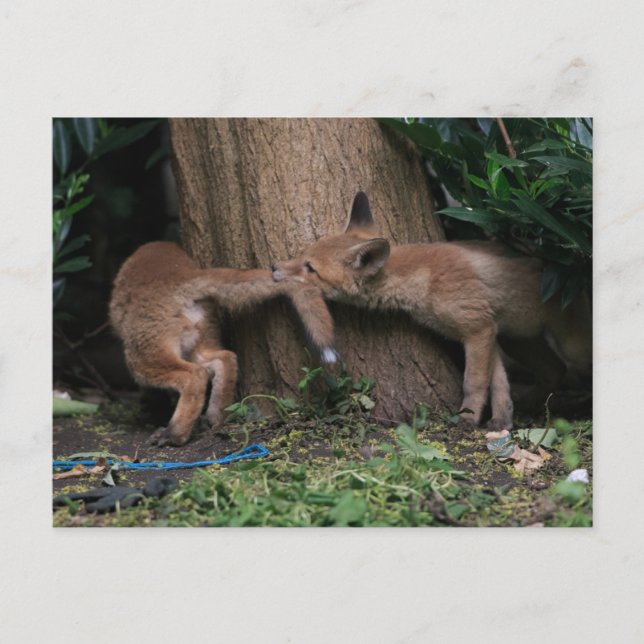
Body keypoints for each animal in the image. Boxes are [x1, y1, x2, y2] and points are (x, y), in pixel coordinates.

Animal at [109, 241, 336, 447]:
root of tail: (184, 276)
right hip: (198, 346)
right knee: (226, 359)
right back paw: (217, 416)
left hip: (141, 359)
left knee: (195, 376)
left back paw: (175, 435)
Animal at [272, 191, 591, 430]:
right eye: (302, 255)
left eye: (310, 268)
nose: (274, 267)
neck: (425, 279)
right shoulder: (490, 332)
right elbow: (499, 384)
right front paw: (502, 421)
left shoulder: (477, 330)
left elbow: (474, 382)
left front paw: (468, 419)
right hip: (520, 340)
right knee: (554, 370)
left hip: (572, 346)